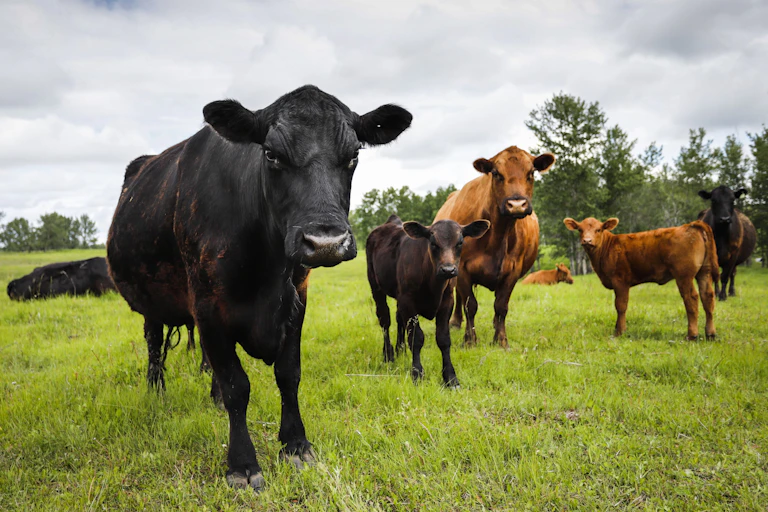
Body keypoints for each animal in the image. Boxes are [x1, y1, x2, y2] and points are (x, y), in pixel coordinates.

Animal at [106, 85, 412, 492]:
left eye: (353, 156)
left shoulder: (297, 300)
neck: (266, 273)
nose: (326, 242)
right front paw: (242, 463)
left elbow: (288, 373)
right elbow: (237, 385)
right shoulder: (207, 305)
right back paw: (156, 391)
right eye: (271, 154)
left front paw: (296, 445)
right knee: (155, 346)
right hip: (151, 303)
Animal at [366, 215, 489, 387]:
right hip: (375, 286)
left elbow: (443, 339)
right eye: (433, 242)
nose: (448, 270)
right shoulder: (408, 302)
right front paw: (417, 373)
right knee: (385, 320)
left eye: (460, 242)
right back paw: (388, 355)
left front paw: (450, 377)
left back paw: (400, 349)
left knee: (398, 319)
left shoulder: (447, 302)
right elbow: (416, 338)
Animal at [434, 146, 556, 348]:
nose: (516, 204)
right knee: (457, 295)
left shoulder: (512, 270)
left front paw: (501, 340)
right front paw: (470, 340)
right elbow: (470, 305)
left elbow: (501, 306)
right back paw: (455, 322)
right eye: (496, 173)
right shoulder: (462, 269)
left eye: (531, 173)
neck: (498, 233)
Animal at [563, 217, 718, 340]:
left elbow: (620, 306)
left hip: (683, 275)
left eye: (598, 229)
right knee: (707, 296)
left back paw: (692, 335)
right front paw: (617, 328)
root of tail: (690, 225)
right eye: (580, 229)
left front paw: (620, 332)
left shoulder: (620, 281)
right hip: (704, 272)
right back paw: (710, 333)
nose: (587, 241)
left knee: (691, 298)